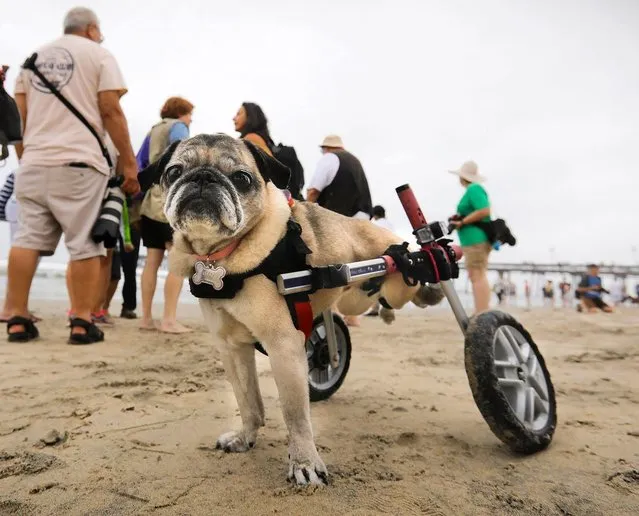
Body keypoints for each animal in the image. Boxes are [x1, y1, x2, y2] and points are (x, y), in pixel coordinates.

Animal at [144, 134, 444, 488]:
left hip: (398, 282)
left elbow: (295, 415)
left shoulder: (284, 347)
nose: (203, 178)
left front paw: (304, 462)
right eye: (174, 172)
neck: (220, 256)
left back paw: (431, 278)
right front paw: (246, 437)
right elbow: (248, 402)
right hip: (353, 299)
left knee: (413, 279)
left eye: (242, 179)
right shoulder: (233, 349)